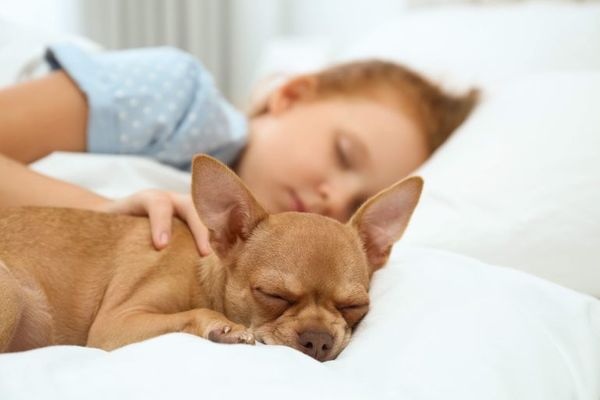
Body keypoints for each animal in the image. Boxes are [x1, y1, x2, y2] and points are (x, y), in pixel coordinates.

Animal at [0, 155, 422, 360]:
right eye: (272, 295)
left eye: (354, 305)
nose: (318, 340)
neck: (203, 278)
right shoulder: (116, 326)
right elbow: (195, 314)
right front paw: (225, 327)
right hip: (15, 295)